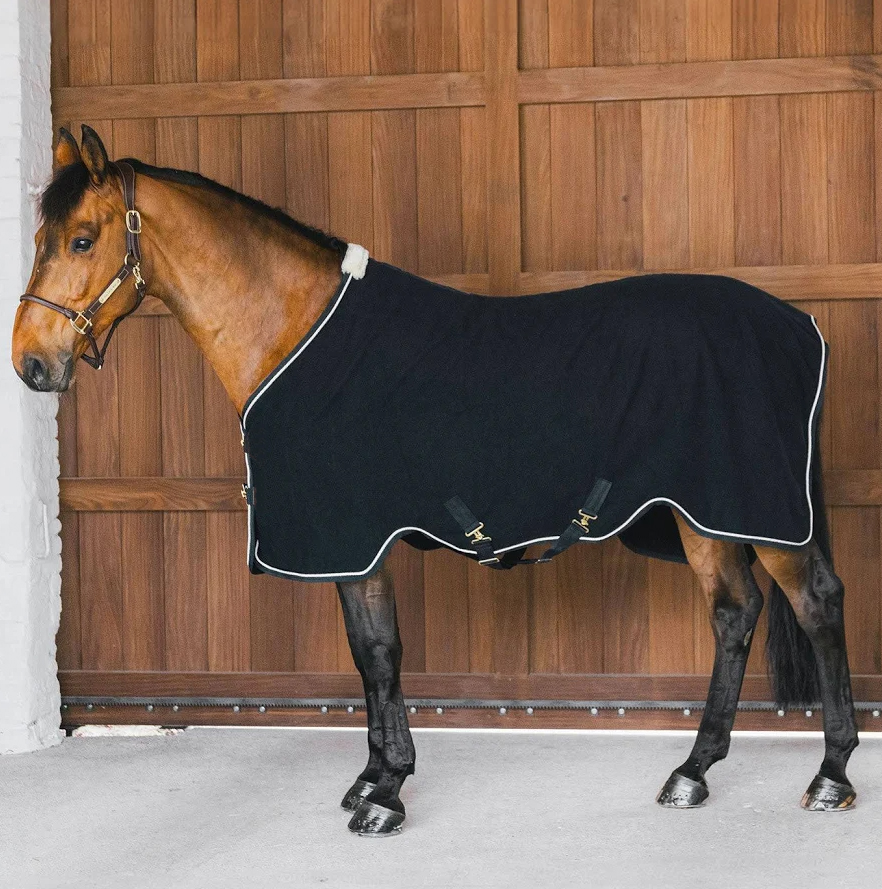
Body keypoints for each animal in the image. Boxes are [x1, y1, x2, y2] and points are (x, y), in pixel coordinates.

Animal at [12, 126, 859, 836]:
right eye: (42, 238)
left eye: (82, 239)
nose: (30, 362)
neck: (295, 332)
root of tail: (798, 325)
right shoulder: (351, 547)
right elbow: (368, 655)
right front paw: (372, 776)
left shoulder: (357, 539)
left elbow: (381, 652)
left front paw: (385, 793)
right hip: (703, 517)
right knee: (735, 613)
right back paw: (692, 771)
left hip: (758, 516)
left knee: (816, 603)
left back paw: (831, 774)